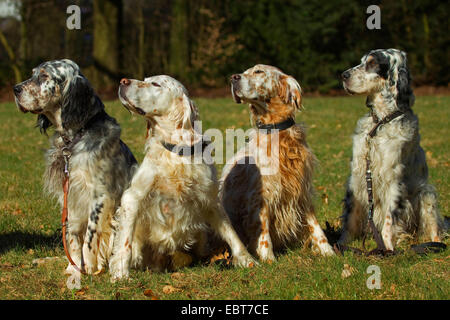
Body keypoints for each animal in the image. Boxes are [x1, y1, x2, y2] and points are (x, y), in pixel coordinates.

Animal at [13, 59, 137, 276]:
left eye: (44, 76)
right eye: (33, 73)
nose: (15, 89)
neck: (74, 138)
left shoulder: (100, 195)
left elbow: (89, 237)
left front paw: (87, 268)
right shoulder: (70, 195)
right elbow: (72, 239)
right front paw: (73, 268)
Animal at [109, 75, 256, 280]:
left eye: (155, 84)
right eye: (146, 79)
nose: (123, 80)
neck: (175, 154)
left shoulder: (210, 199)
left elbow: (231, 233)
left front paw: (247, 260)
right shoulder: (133, 197)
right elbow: (125, 242)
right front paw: (120, 273)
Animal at [221, 63, 334, 262]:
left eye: (258, 71)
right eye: (245, 71)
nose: (233, 77)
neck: (277, 132)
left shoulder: (301, 189)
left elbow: (315, 225)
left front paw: (328, 251)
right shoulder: (262, 194)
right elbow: (263, 230)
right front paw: (268, 259)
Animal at [340, 49, 444, 250]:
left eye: (373, 63)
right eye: (362, 61)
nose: (343, 75)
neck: (380, 122)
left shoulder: (393, 179)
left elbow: (389, 220)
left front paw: (387, 247)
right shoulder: (358, 175)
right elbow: (350, 217)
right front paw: (341, 244)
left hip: (426, 194)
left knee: (433, 227)